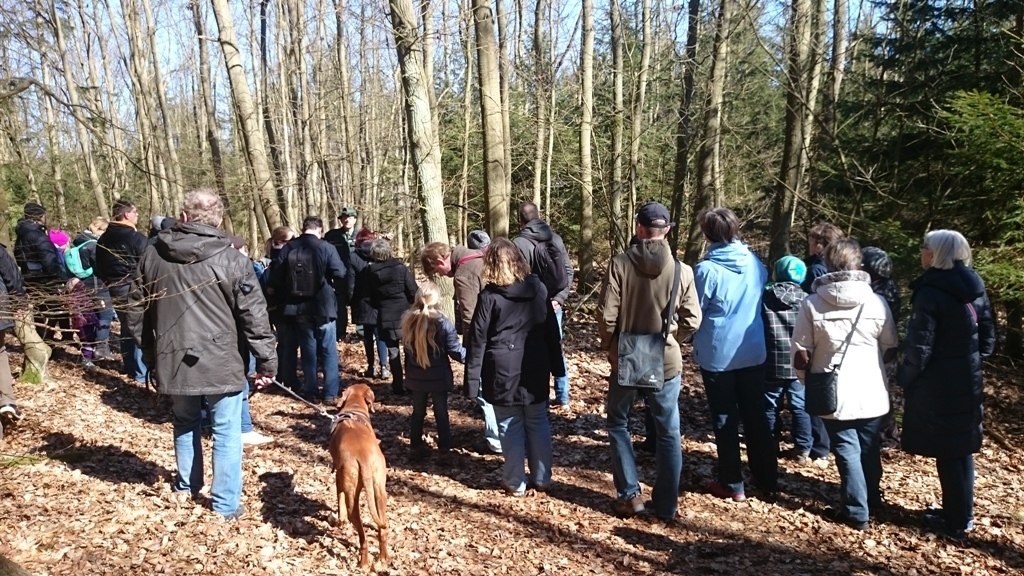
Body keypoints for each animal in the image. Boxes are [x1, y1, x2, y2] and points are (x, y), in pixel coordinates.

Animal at [329, 383, 389, 565]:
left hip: (352, 498)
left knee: (363, 538)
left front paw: (339, 519)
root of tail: (363, 457)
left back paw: (363, 564)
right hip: (380, 491)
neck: (354, 406)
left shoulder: (338, 474)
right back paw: (383, 558)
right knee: (382, 530)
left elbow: (339, 497)